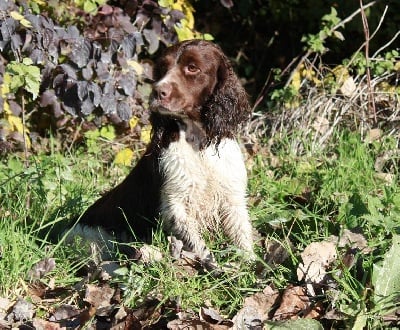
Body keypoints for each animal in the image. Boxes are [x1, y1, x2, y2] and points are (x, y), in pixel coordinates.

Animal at [72, 39, 256, 262]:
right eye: (162, 68)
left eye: (192, 67)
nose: (158, 92)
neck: (198, 143)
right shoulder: (175, 203)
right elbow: (199, 246)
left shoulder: (231, 196)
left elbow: (242, 236)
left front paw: (252, 265)